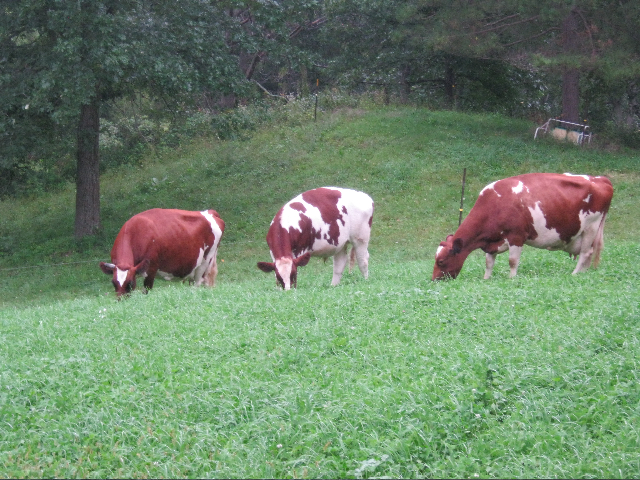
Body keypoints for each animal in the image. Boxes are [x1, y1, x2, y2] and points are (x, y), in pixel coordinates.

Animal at [432, 174, 612, 282]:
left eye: (441, 261)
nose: (434, 280)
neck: (495, 204)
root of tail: (601, 179)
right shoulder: (491, 241)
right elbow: (489, 263)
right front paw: (486, 279)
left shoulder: (516, 236)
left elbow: (512, 261)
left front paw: (511, 279)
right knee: (589, 254)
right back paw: (583, 273)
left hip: (591, 228)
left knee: (585, 253)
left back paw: (574, 274)